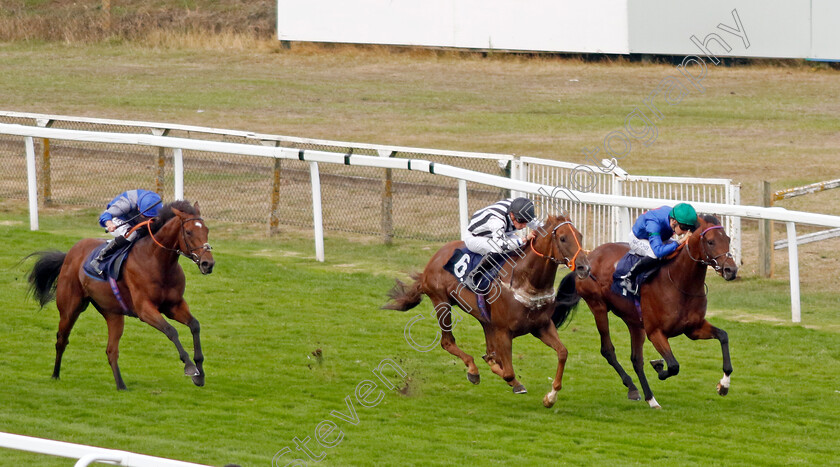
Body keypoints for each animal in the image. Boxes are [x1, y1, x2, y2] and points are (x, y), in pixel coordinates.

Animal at [27, 201, 215, 392]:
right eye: (189, 232)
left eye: (206, 230)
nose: (208, 264)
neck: (158, 262)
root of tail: (69, 254)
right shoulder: (144, 309)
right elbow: (171, 331)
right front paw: (190, 368)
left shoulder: (174, 306)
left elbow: (195, 325)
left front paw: (200, 373)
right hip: (70, 308)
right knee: (62, 340)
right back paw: (55, 375)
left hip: (113, 313)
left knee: (111, 350)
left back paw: (121, 385)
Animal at [382, 214, 592, 408]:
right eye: (563, 238)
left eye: (580, 236)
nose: (584, 267)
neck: (527, 281)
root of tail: (434, 258)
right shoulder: (503, 331)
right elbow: (508, 372)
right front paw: (514, 382)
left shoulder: (541, 326)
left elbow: (562, 352)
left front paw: (551, 396)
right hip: (441, 302)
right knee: (447, 342)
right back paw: (472, 370)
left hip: (485, 320)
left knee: (485, 347)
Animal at [556, 216, 740, 410]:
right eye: (711, 241)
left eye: (728, 239)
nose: (731, 270)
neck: (680, 283)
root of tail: (587, 259)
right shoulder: (655, 332)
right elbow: (673, 366)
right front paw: (659, 367)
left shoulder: (693, 328)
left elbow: (723, 336)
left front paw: (724, 385)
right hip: (598, 306)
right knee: (608, 350)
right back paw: (633, 387)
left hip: (634, 322)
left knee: (636, 359)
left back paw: (650, 398)